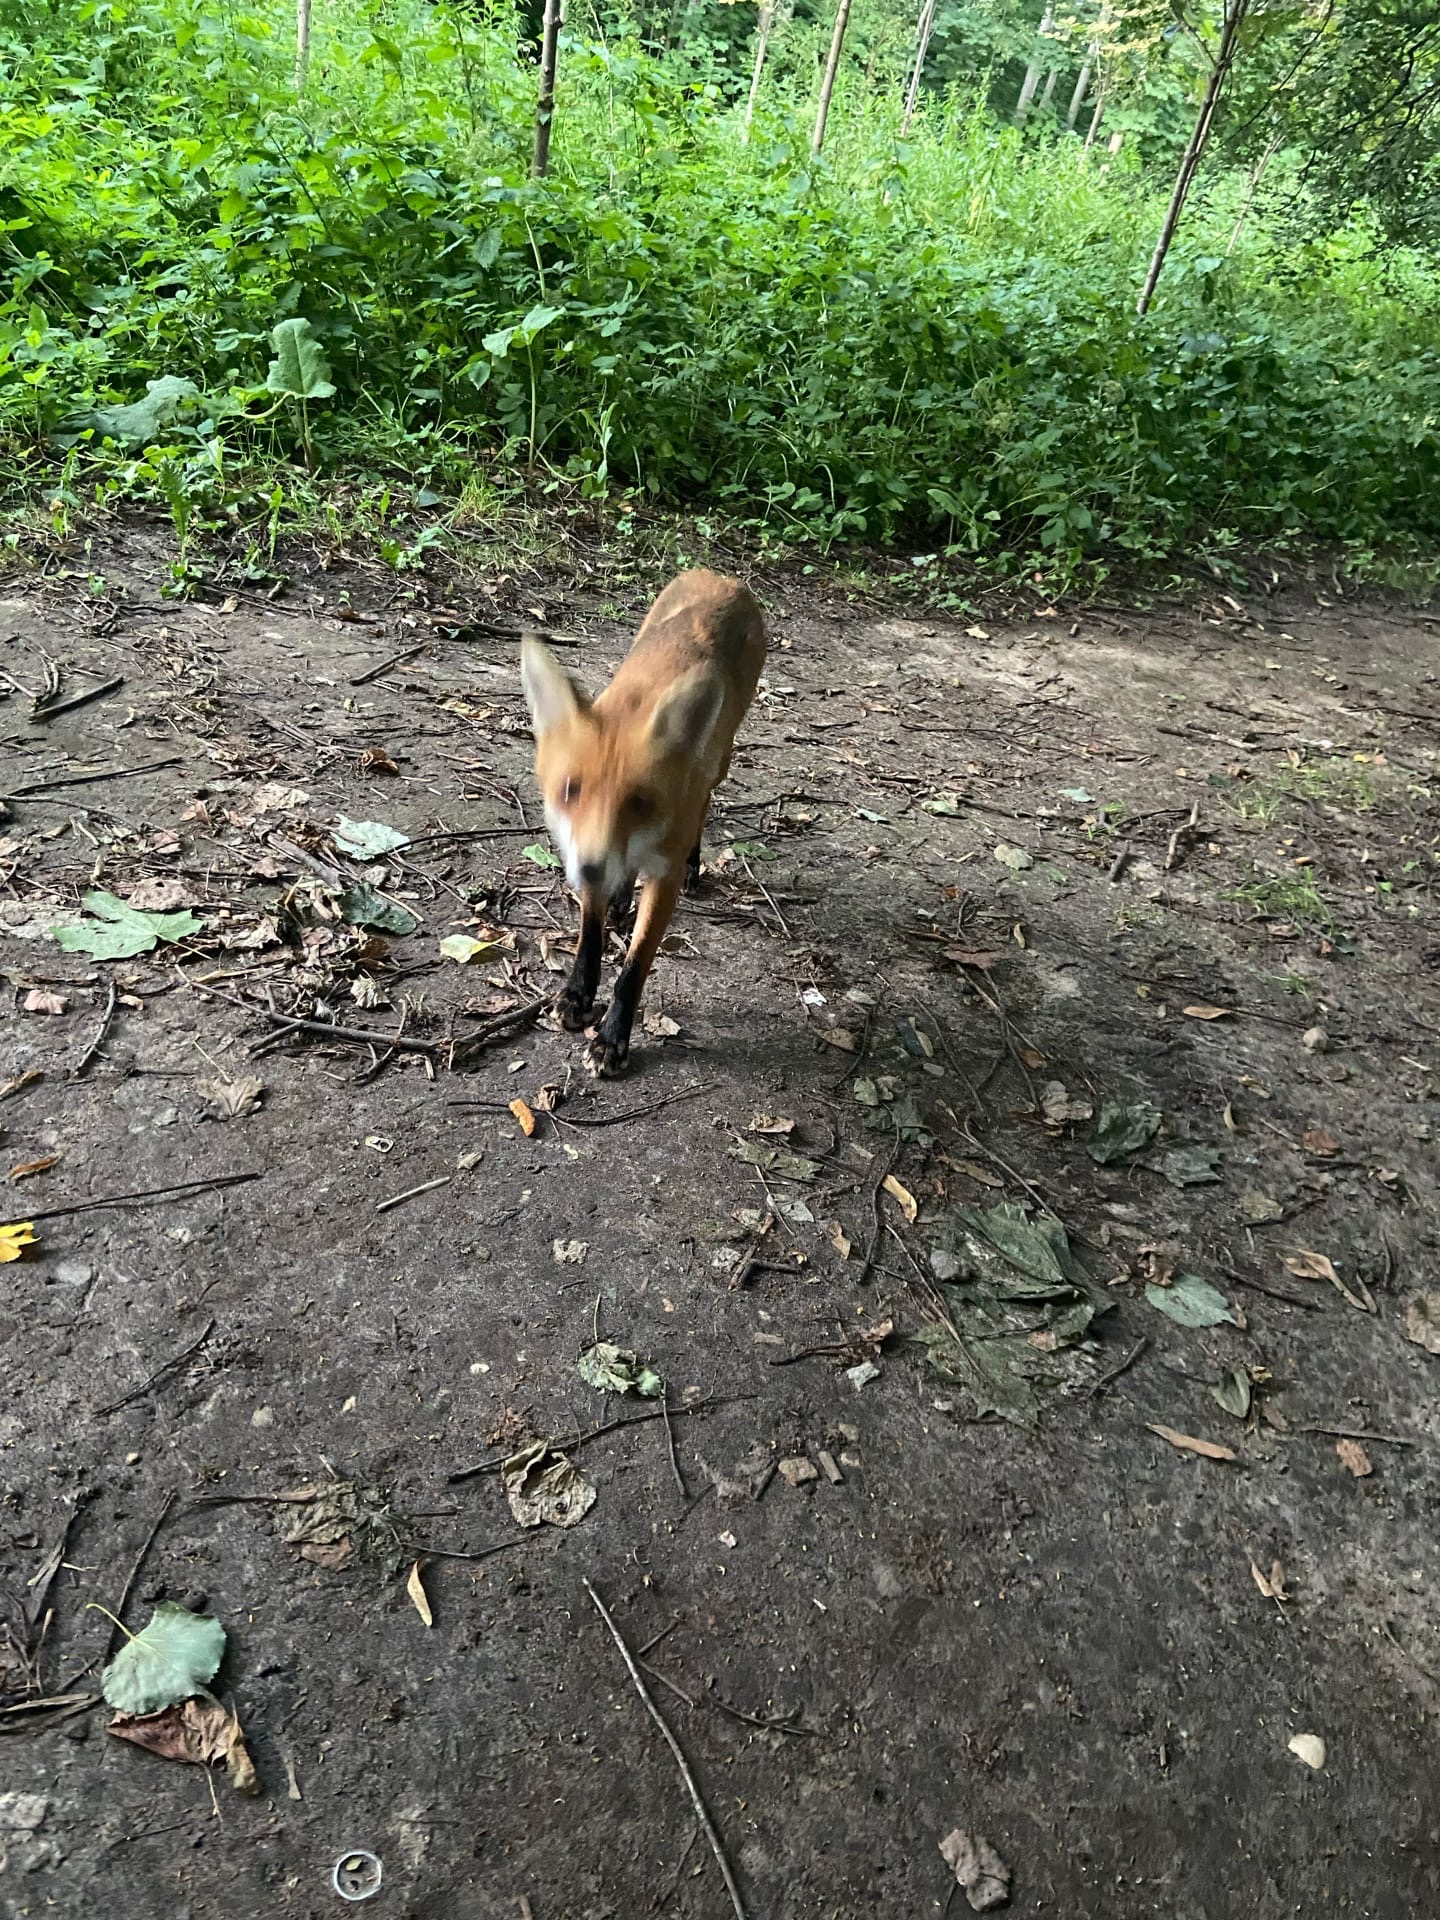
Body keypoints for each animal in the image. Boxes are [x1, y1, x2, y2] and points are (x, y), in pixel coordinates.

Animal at [518, 568, 768, 1082]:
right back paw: (619, 897)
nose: (593, 870)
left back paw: (691, 865)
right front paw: (578, 992)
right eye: (570, 790)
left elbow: (634, 967)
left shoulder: (662, 876)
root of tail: (720, 575)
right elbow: (590, 937)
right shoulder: (587, 853)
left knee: (706, 802)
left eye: (640, 802)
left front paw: (612, 1039)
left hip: (720, 759)